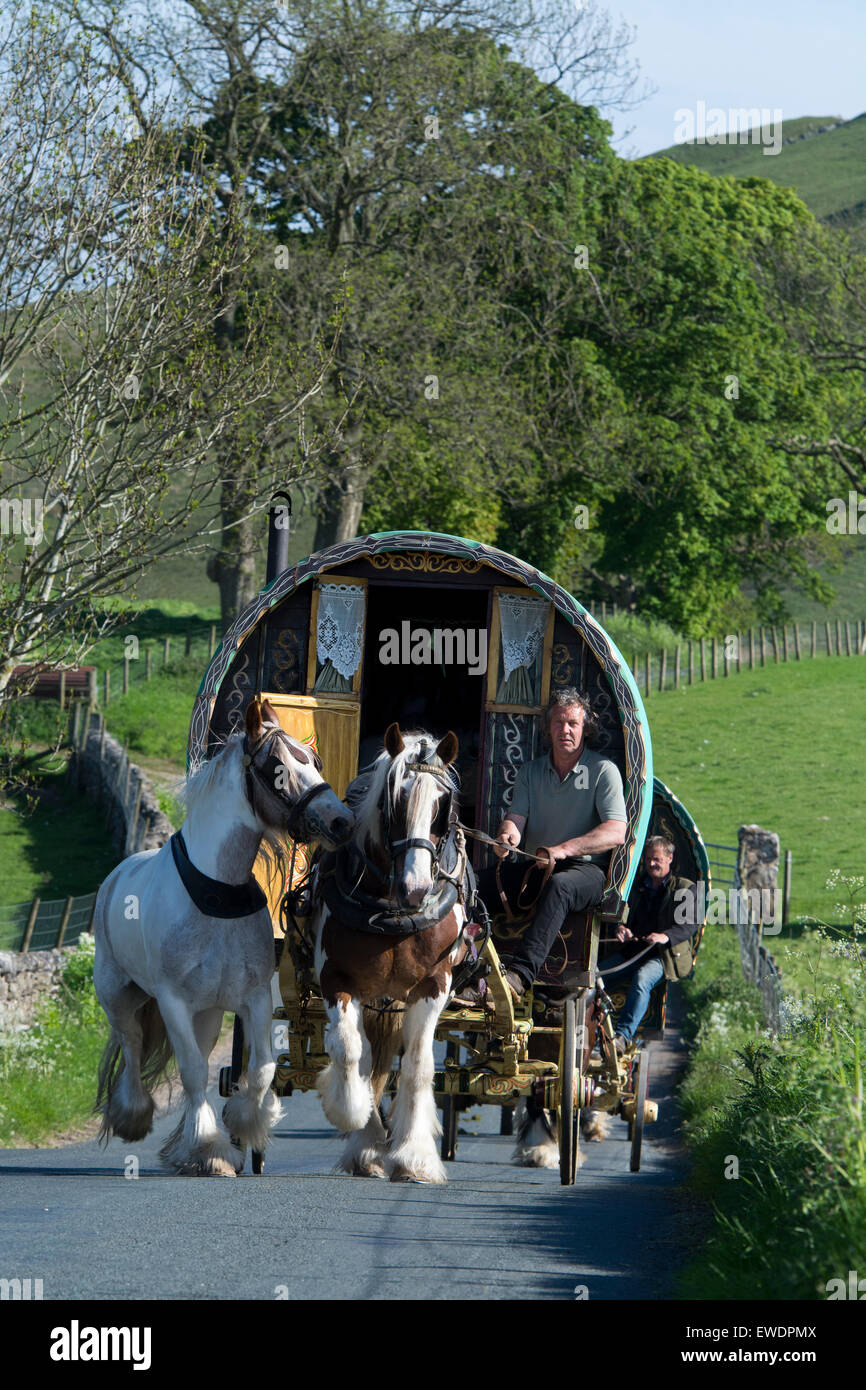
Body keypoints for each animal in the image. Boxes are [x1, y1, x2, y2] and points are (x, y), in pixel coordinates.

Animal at [93, 696, 354, 1176]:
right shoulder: (173, 1001)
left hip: (209, 1012)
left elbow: (263, 1068)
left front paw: (244, 1123)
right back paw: (133, 1116)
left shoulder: (253, 998)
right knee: (132, 1045)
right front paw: (209, 1148)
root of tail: (117, 875)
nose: (341, 821)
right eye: (278, 767)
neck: (217, 893)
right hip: (118, 996)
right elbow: (194, 1071)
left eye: (315, 761)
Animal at [311, 722, 469, 1184]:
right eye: (394, 800)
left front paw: (415, 1156)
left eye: (443, 807)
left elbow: (417, 1066)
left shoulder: (434, 984)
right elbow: (353, 1052)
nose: (416, 889)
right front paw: (354, 1119)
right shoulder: (337, 980)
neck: (393, 910)